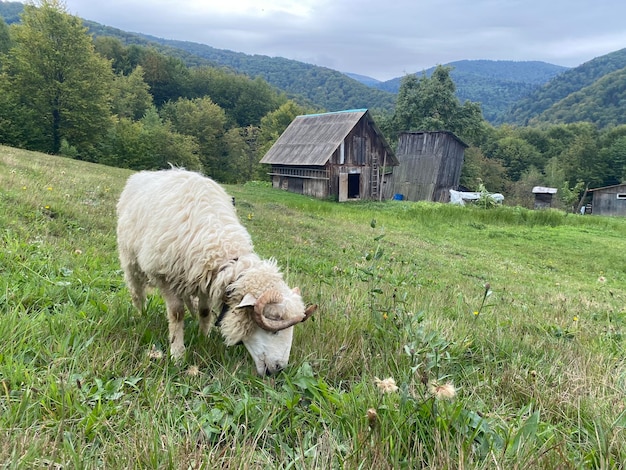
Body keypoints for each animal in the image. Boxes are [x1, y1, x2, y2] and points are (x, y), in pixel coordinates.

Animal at [114, 169, 314, 374]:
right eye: (274, 329)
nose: (279, 368)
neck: (222, 250)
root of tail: (146, 173)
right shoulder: (166, 277)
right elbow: (176, 314)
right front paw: (177, 354)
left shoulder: (205, 280)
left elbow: (204, 312)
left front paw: (204, 337)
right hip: (130, 259)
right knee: (136, 290)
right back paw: (142, 315)